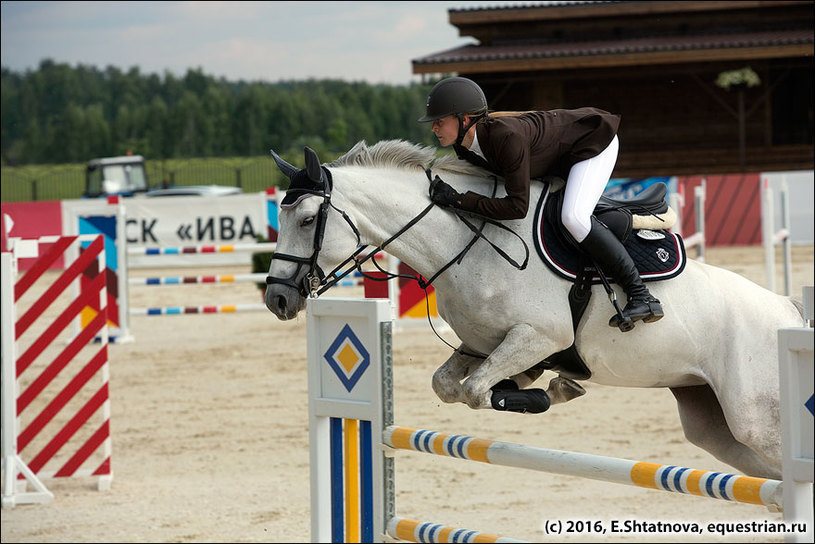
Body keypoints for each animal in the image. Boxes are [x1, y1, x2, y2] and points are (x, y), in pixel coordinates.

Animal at [266, 138, 804, 478]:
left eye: (308, 219)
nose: (277, 299)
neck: (469, 240)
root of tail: (790, 312)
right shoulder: (484, 343)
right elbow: (450, 386)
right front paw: (547, 387)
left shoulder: (541, 337)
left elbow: (477, 390)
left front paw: (548, 394)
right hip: (715, 424)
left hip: (757, 418)